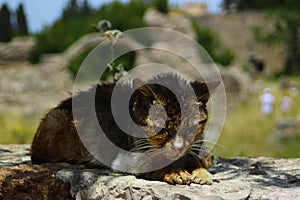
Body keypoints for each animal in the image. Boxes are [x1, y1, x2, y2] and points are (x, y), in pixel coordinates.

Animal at [31, 73, 218, 184]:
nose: (178, 148)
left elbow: (198, 157)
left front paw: (200, 172)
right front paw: (176, 172)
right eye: (163, 130)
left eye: (189, 129)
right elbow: (154, 161)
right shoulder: (126, 158)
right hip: (56, 121)